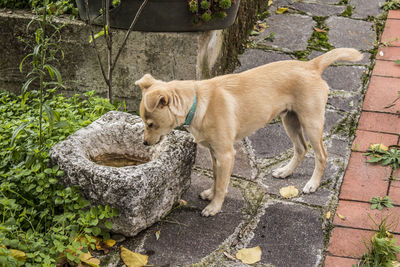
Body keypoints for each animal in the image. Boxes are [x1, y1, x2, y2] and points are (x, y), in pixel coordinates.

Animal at [136, 48, 364, 218]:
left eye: (151, 124)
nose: (145, 144)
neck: (198, 102)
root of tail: (312, 65)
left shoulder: (226, 155)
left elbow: (222, 184)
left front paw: (215, 207)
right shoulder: (214, 153)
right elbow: (216, 178)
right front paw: (210, 194)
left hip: (311, 122)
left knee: (321, 155)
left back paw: (312, 184)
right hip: (290, 120)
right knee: (301, 148)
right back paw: (285, 171)